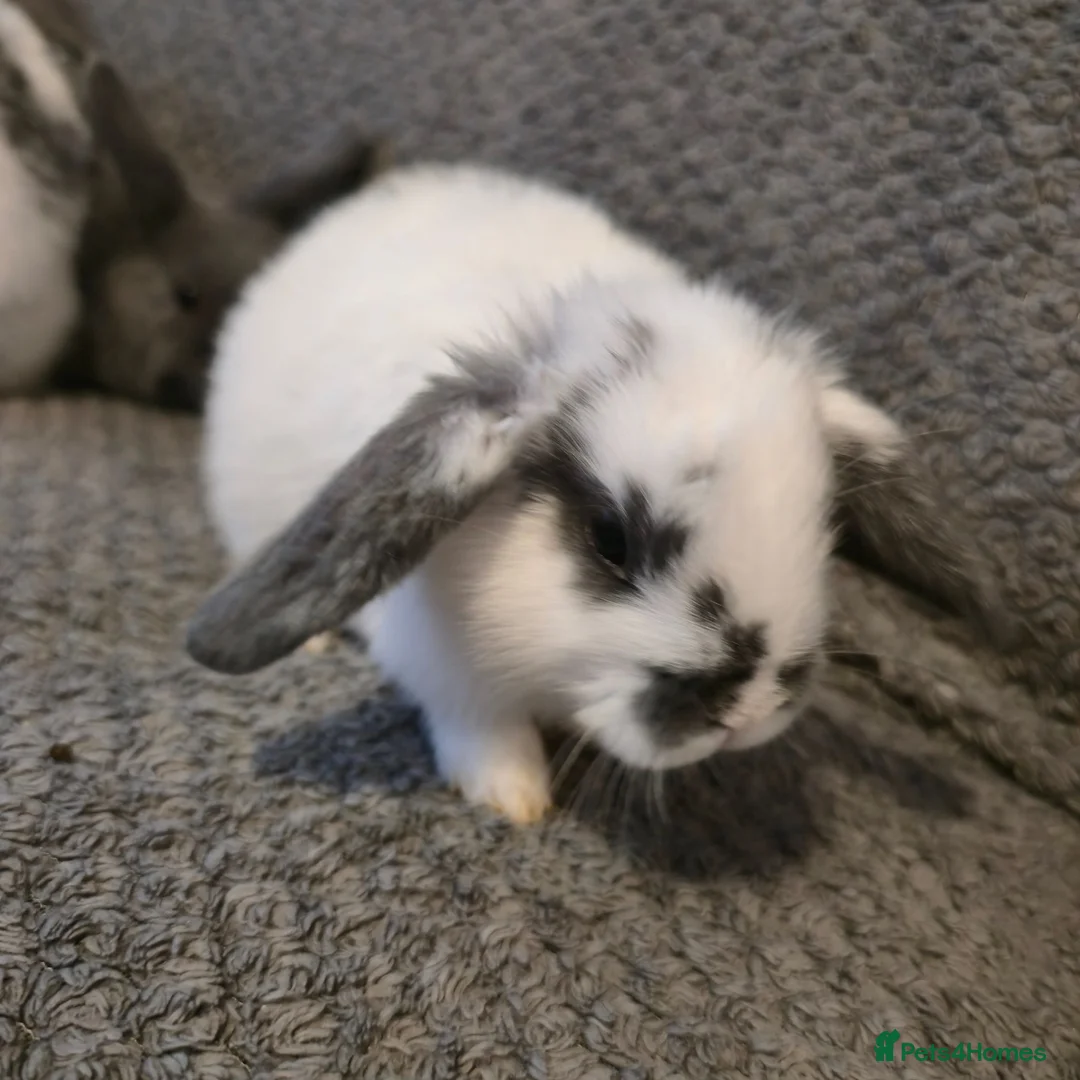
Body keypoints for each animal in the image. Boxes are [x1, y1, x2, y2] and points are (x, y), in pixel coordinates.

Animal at [184, 162, 1011, 824]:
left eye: (824, 524)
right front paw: (514, 799)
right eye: (610, 539)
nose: (744, 713)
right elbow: (479, 725)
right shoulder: (443, 663)